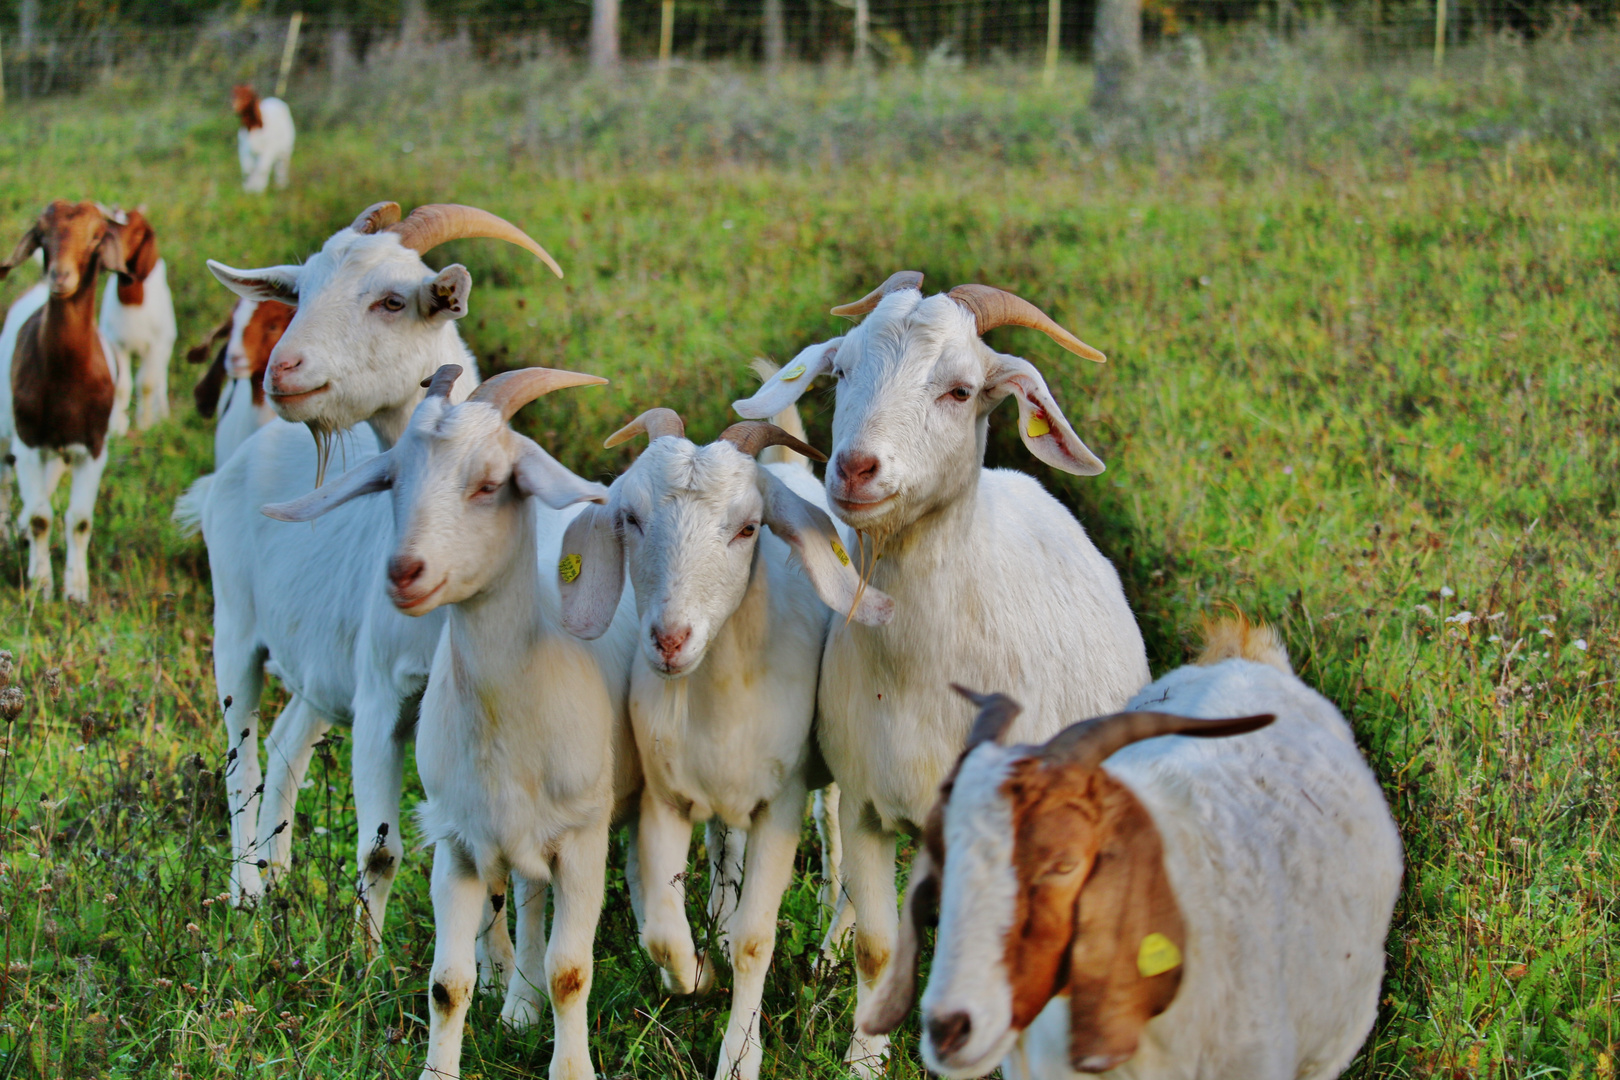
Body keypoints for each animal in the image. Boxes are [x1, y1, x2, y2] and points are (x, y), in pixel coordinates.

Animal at [98, 207, 177, 430]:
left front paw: (146, 424)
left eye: (138, 234)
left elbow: (148, 384)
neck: (132, 304)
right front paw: (117, 426)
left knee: (160, 377)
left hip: (166, 343)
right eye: (109, 228)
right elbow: (122, 386)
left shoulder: (156, 345)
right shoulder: (116, 343)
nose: (108, 257)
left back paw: (162, 413)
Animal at [265, 365, 638, 1080]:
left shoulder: (584, 837)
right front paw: (443, 1064)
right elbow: (448, 983)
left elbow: (572, 972)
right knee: (526, 895)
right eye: (392, 482)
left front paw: (571, 1067)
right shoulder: (459, 840)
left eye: (491, 484)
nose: (404, 572)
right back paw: (519, 1004)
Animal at [554, 404, 887, 1080]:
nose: (669, 639)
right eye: (632, 519)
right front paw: (698, 973)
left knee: (836, 822)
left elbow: (759, 942)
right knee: (730, 842)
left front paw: (739, 1055)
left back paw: (831, 939)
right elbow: (660, 929)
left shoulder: (780, 804)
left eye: (749, 528)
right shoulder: (665, 797)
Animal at [729, 268, 1146, 1075]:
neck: (921, 677)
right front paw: (865, 1057)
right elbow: (879, 944)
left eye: (960, 390)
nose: (856, 467)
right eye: (841, 372)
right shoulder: (867, 803)